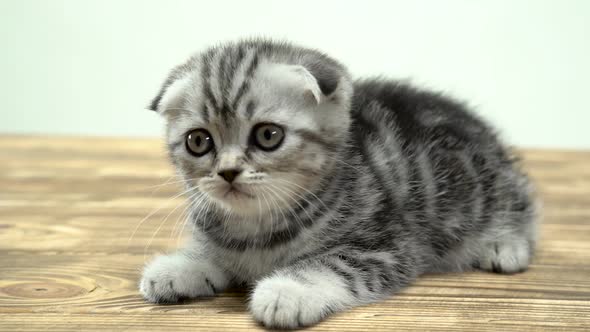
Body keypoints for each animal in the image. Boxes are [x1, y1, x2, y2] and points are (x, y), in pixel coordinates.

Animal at [141, 39, 540, 330]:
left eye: (268, 135)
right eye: (198, 141)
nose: (227, 172)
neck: (258, 227)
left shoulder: (388, 246)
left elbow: (332, 264)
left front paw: (286, 290)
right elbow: (210, 250)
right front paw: (178, 267)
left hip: (486, 187)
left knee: (521, 202)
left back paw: (505, 244)